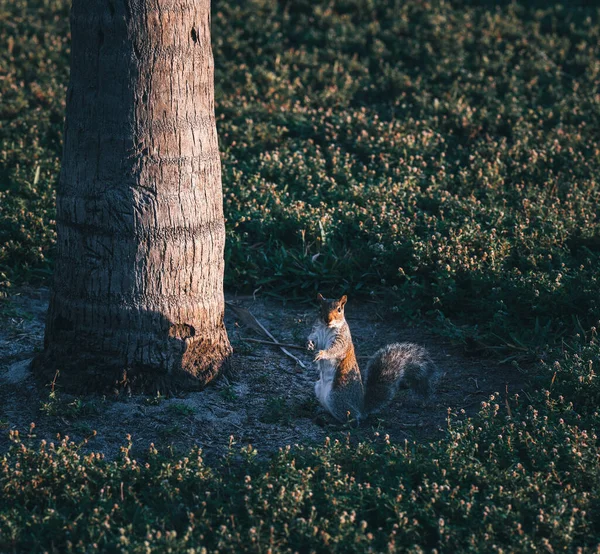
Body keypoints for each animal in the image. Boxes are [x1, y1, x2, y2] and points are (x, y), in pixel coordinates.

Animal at [308, 292, 438, 420]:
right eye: (320, 308)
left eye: (339, 309)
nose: (327, 319)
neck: (326, 328)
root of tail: (361, 406)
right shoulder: (316, 333)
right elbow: (313, 339)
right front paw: (309, 345)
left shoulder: (342, 339)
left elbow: (335, 349)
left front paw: (322, 353)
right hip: (318, 388)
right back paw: (322, 411)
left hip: (337, 397)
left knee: (353, 418)